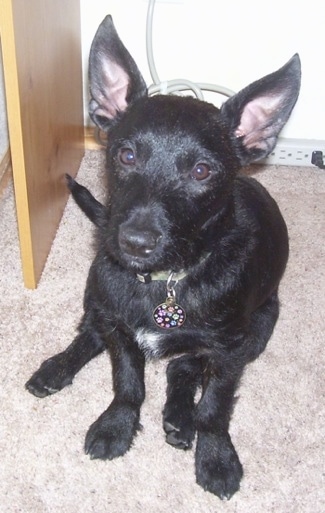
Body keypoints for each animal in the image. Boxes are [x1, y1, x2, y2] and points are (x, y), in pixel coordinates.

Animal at [26, 17, 302, 500]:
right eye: (126, 154)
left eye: (202, 172)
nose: (134, 242)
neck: (166, 279)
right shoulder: (120, 328)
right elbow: (127, 384)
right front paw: (116, 426)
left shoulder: (230, 351)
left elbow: (215, 406)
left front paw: (216, 456)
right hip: (97, 290)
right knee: (91, 333)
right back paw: (57, 368)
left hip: (262, 325)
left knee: (183, 366)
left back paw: (179, 417)